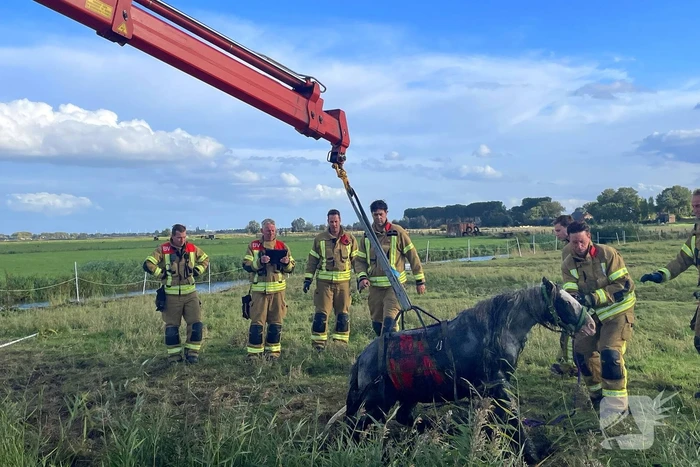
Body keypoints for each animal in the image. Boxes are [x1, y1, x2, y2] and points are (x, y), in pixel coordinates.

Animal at [334, 277, 596, 463]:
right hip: (378, 403)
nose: (591, 325)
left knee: (400, 418)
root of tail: (362, 358)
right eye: (564, 302)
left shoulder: (490, 391)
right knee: (360, 427)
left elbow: (500, 422)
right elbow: (514, 420)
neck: (492, 333)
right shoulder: (499, 386)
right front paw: (530, 454)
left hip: (405, 397)